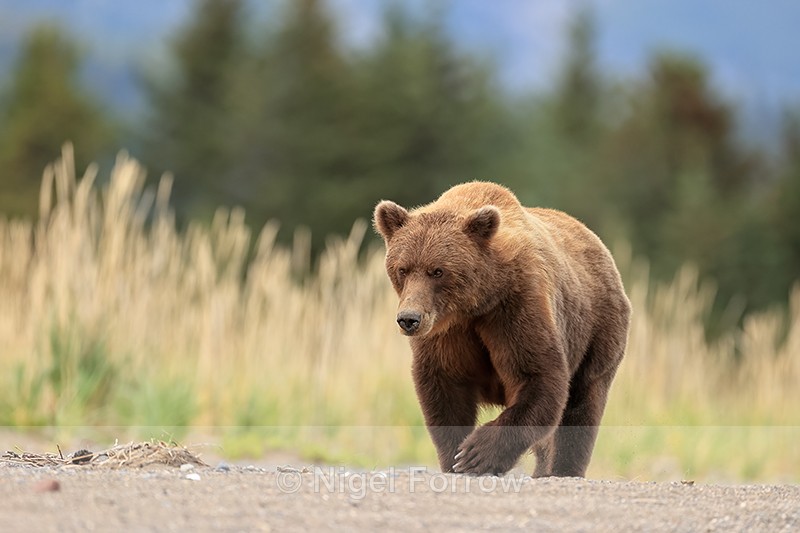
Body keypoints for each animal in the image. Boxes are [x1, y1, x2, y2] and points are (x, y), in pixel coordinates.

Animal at [373, 181, 631, 477]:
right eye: (402, 269)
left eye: (437, 271)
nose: (409, 319)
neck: (474, 305)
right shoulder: (446, 334)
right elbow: (443, 388)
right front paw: (455, 458)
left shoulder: (515, 307)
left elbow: (539, 375)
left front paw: (476, 454)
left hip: (597, 329)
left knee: (582, 401)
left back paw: (562, 469)